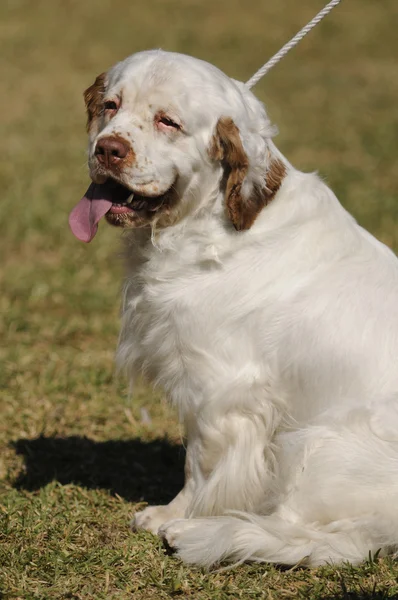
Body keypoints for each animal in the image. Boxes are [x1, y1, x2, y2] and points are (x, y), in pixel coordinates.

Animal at [69, 51, 398, 568]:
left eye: (168, 121)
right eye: (110, 106)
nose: (108, 149)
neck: (211, 223)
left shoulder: (221, 390)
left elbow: (201, 465)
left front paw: (170, 516)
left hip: (318, 444)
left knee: (298, 529)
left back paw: (199, 533)